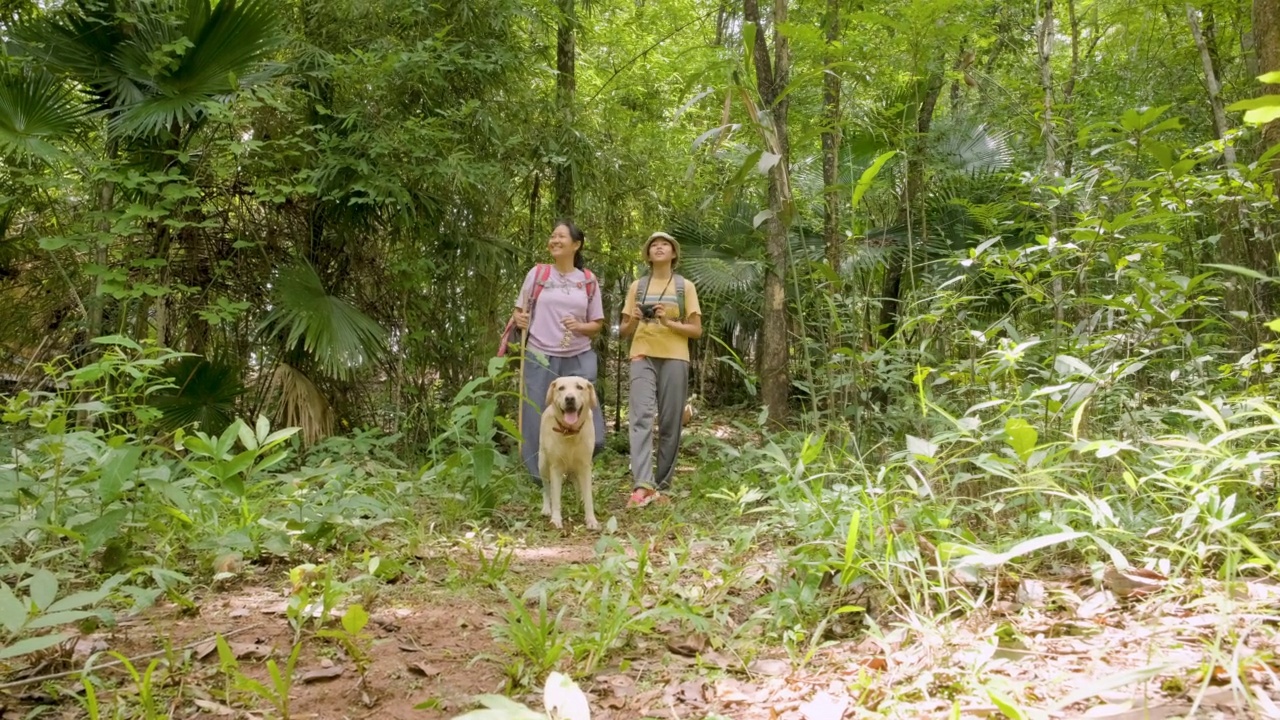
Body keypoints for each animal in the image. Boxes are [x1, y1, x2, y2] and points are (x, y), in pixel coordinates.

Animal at [540, 376, 599, 527]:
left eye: (579, 387)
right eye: (561, 388)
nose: (570, 398)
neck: (570, 432)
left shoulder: (585, 466)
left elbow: (588, 496)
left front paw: (591, 519)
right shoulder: (555, 468)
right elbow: (555, 498)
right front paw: (556, 519)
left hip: (576, 470)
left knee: (578, 487)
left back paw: (580, 502)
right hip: (543, 464)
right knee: (546, 488)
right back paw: (546, 508)